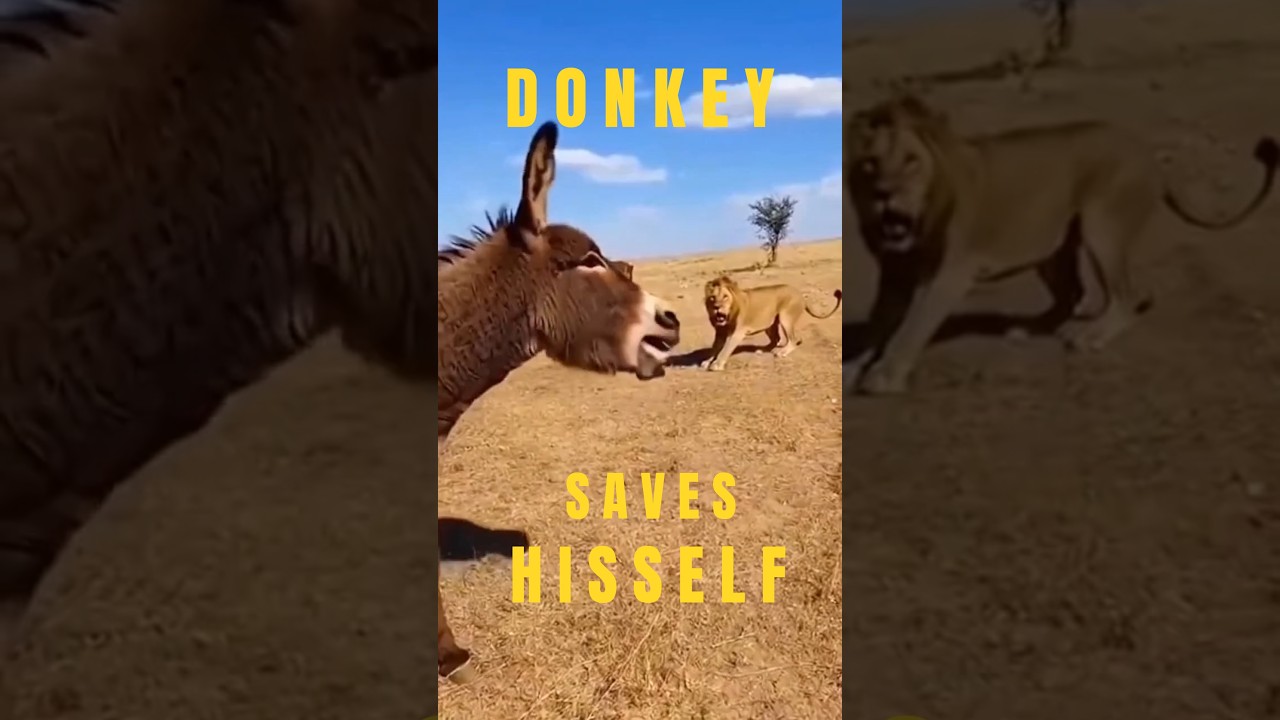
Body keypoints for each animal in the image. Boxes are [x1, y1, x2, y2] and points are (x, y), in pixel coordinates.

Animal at [700, 275, 842, 371]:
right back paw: (762, 350)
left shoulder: (737, 333)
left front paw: (717, 364)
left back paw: (782, 352)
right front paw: (706, 361)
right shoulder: (719, 334)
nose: (717, 307)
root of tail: (800, 294)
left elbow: (725, 349)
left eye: (725, 297)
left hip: (785, 317)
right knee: (777, 339)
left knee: (793, 339)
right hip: (770, 324)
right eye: (712, 298)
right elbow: (714, 349)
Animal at [844, 93, 1279, 396]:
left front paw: (884, 375)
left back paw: (1091, 336)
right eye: (869, 164)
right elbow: (877, 326)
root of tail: (1146, 150)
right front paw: (850, 367)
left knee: (1124, 295)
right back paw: (1028, 326)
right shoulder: (894, 277)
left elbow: (911, 328)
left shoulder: (951, 273)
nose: (884, 194)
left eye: (911, 161)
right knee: (1073, 293)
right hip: (1052, 246)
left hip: (1103, 225)